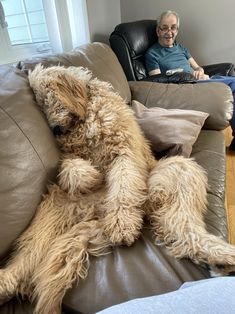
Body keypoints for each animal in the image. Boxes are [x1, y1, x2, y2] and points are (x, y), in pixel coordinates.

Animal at [0, 65, 235, 312]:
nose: (54, 130)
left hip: (176, 171)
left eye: (46, 98)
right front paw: (90, 176)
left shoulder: (123, 152)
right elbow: (71, 167)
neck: (85, 118)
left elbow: (123, 183)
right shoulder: (72, 157)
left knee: (185, 231)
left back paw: (221, 258)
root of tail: (95, 213)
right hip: (52, 214)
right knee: (31, 254)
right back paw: (7, 281)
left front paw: (122, 223)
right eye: (39, 103)